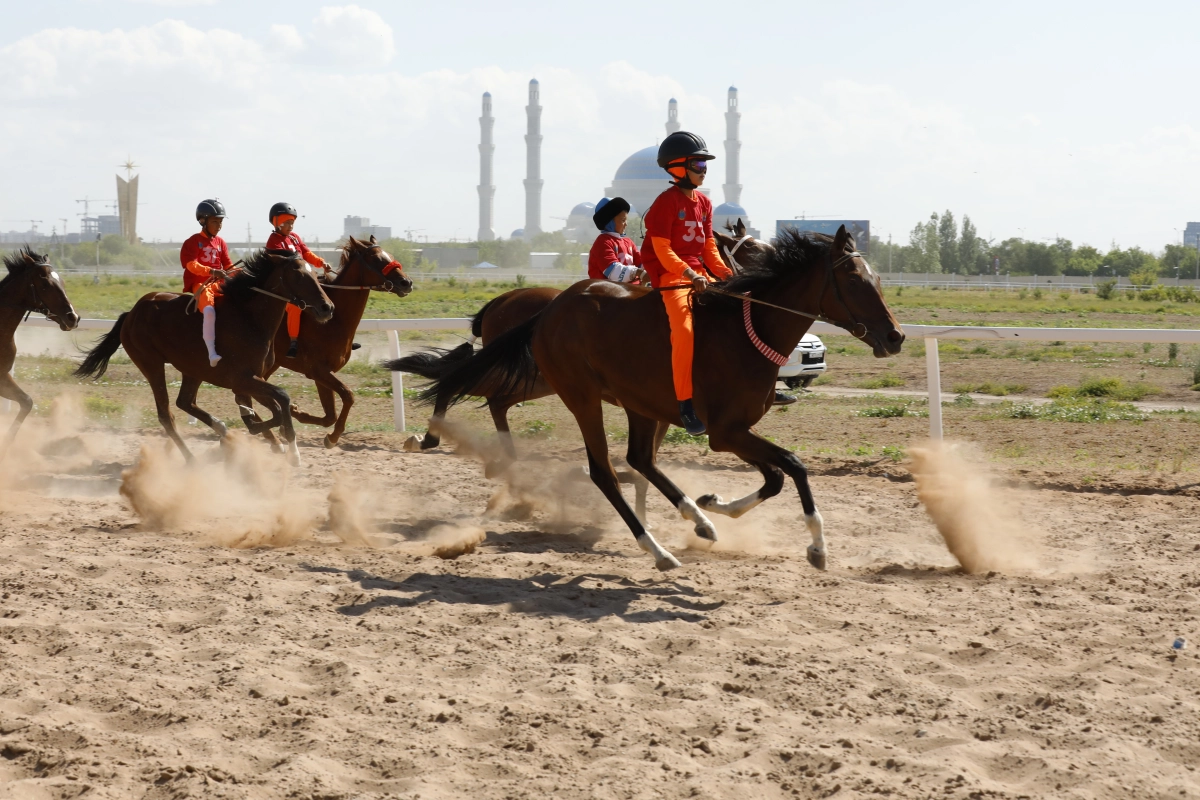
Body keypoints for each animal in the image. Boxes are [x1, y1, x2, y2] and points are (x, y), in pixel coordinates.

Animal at [0, 244, 81, 455]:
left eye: (62, 281)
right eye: (45, 284)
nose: (73, 318)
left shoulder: (3, 377)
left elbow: (27, 402)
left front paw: (7, 444)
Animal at [76, 248, 331, 462]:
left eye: (315, 273)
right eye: (299, 275)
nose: (327, 307)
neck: (249, 319)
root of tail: (131, 313)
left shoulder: (252, 379)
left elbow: (276, 407)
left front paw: (268, 434)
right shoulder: (242, 379)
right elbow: (281, 399)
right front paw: (292, 450)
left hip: (192, 369)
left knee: (185, 401)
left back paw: (220, 428)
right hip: (151, 364)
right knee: (166, 414)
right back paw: (191, 458)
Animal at [234, 237, 417, 450]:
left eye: (390, 255)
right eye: (377, 258)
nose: (406, 282)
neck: (334, 320)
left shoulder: (322, 374)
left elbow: (330, 415)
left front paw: (296, 416)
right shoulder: (318, 370)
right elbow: (348, 396)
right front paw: (332, 436)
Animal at [422, 227, 902, 573]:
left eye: (878, 278)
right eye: (855, 279)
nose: (895, 336)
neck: (744, 331)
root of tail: (549, 310)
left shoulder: (727, 430)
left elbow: (775, 478)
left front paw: (713, 504)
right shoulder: (725, 432)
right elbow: (794, 467)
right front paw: (818, 547)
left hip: (630, 400)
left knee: (636, 458)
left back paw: (697, 519)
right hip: (578, 394)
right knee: (600, 468)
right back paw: (656, 549)